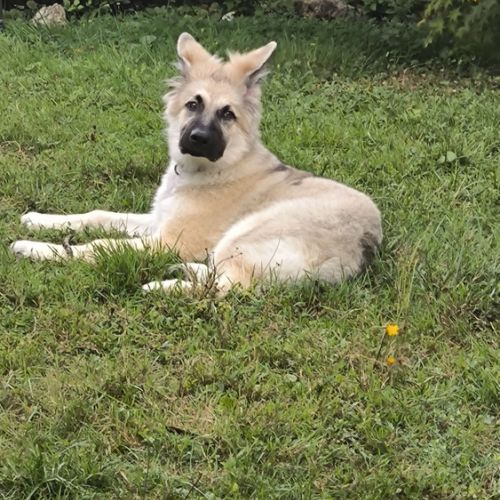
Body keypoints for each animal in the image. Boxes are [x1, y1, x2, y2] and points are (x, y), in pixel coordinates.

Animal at [10, 33, 382, 295]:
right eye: (193, 104)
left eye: (227, 114)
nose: (199, 138)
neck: (215, 168)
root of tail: (364, 245)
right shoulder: (156, 222)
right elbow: (98, 216)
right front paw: (40, 220)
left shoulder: (167, 242)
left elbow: (100, 246)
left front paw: (33, 247)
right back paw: (188, 270)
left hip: (246, 233)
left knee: (229, 288)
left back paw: (162, 287)